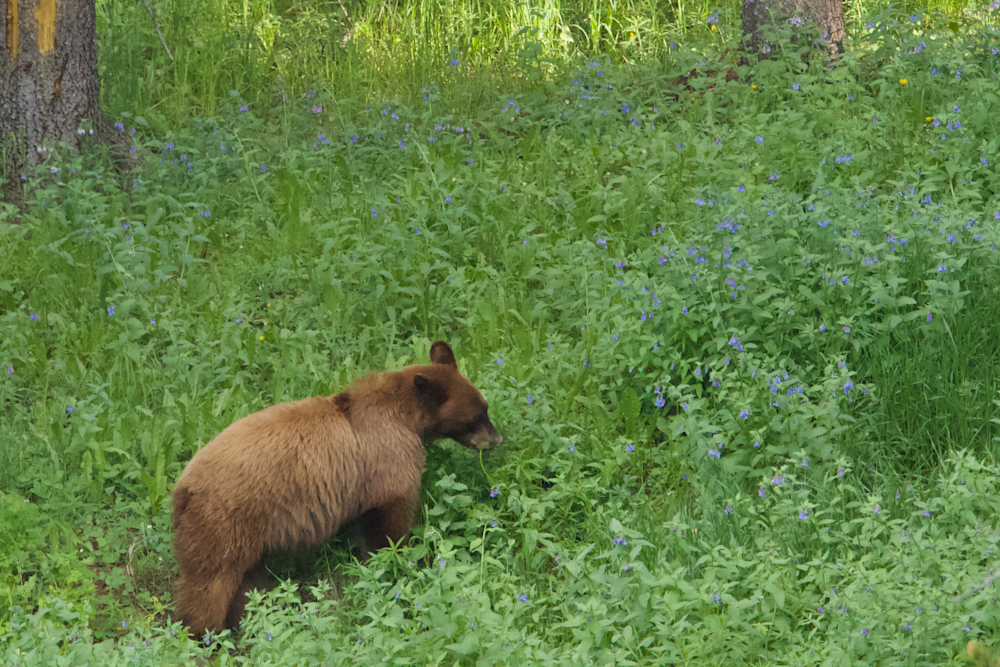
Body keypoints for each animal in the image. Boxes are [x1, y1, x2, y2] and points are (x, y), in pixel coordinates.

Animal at [171, 341, 501, 638]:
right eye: (475, 418)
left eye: (486, 408)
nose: (497, 440)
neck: (403, 414)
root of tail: (182, 491)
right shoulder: (388, 458)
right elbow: (390, 520)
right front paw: (398, 564)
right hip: (226, 524)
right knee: (210, 586)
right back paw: (205, 639)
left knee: (246, 583)